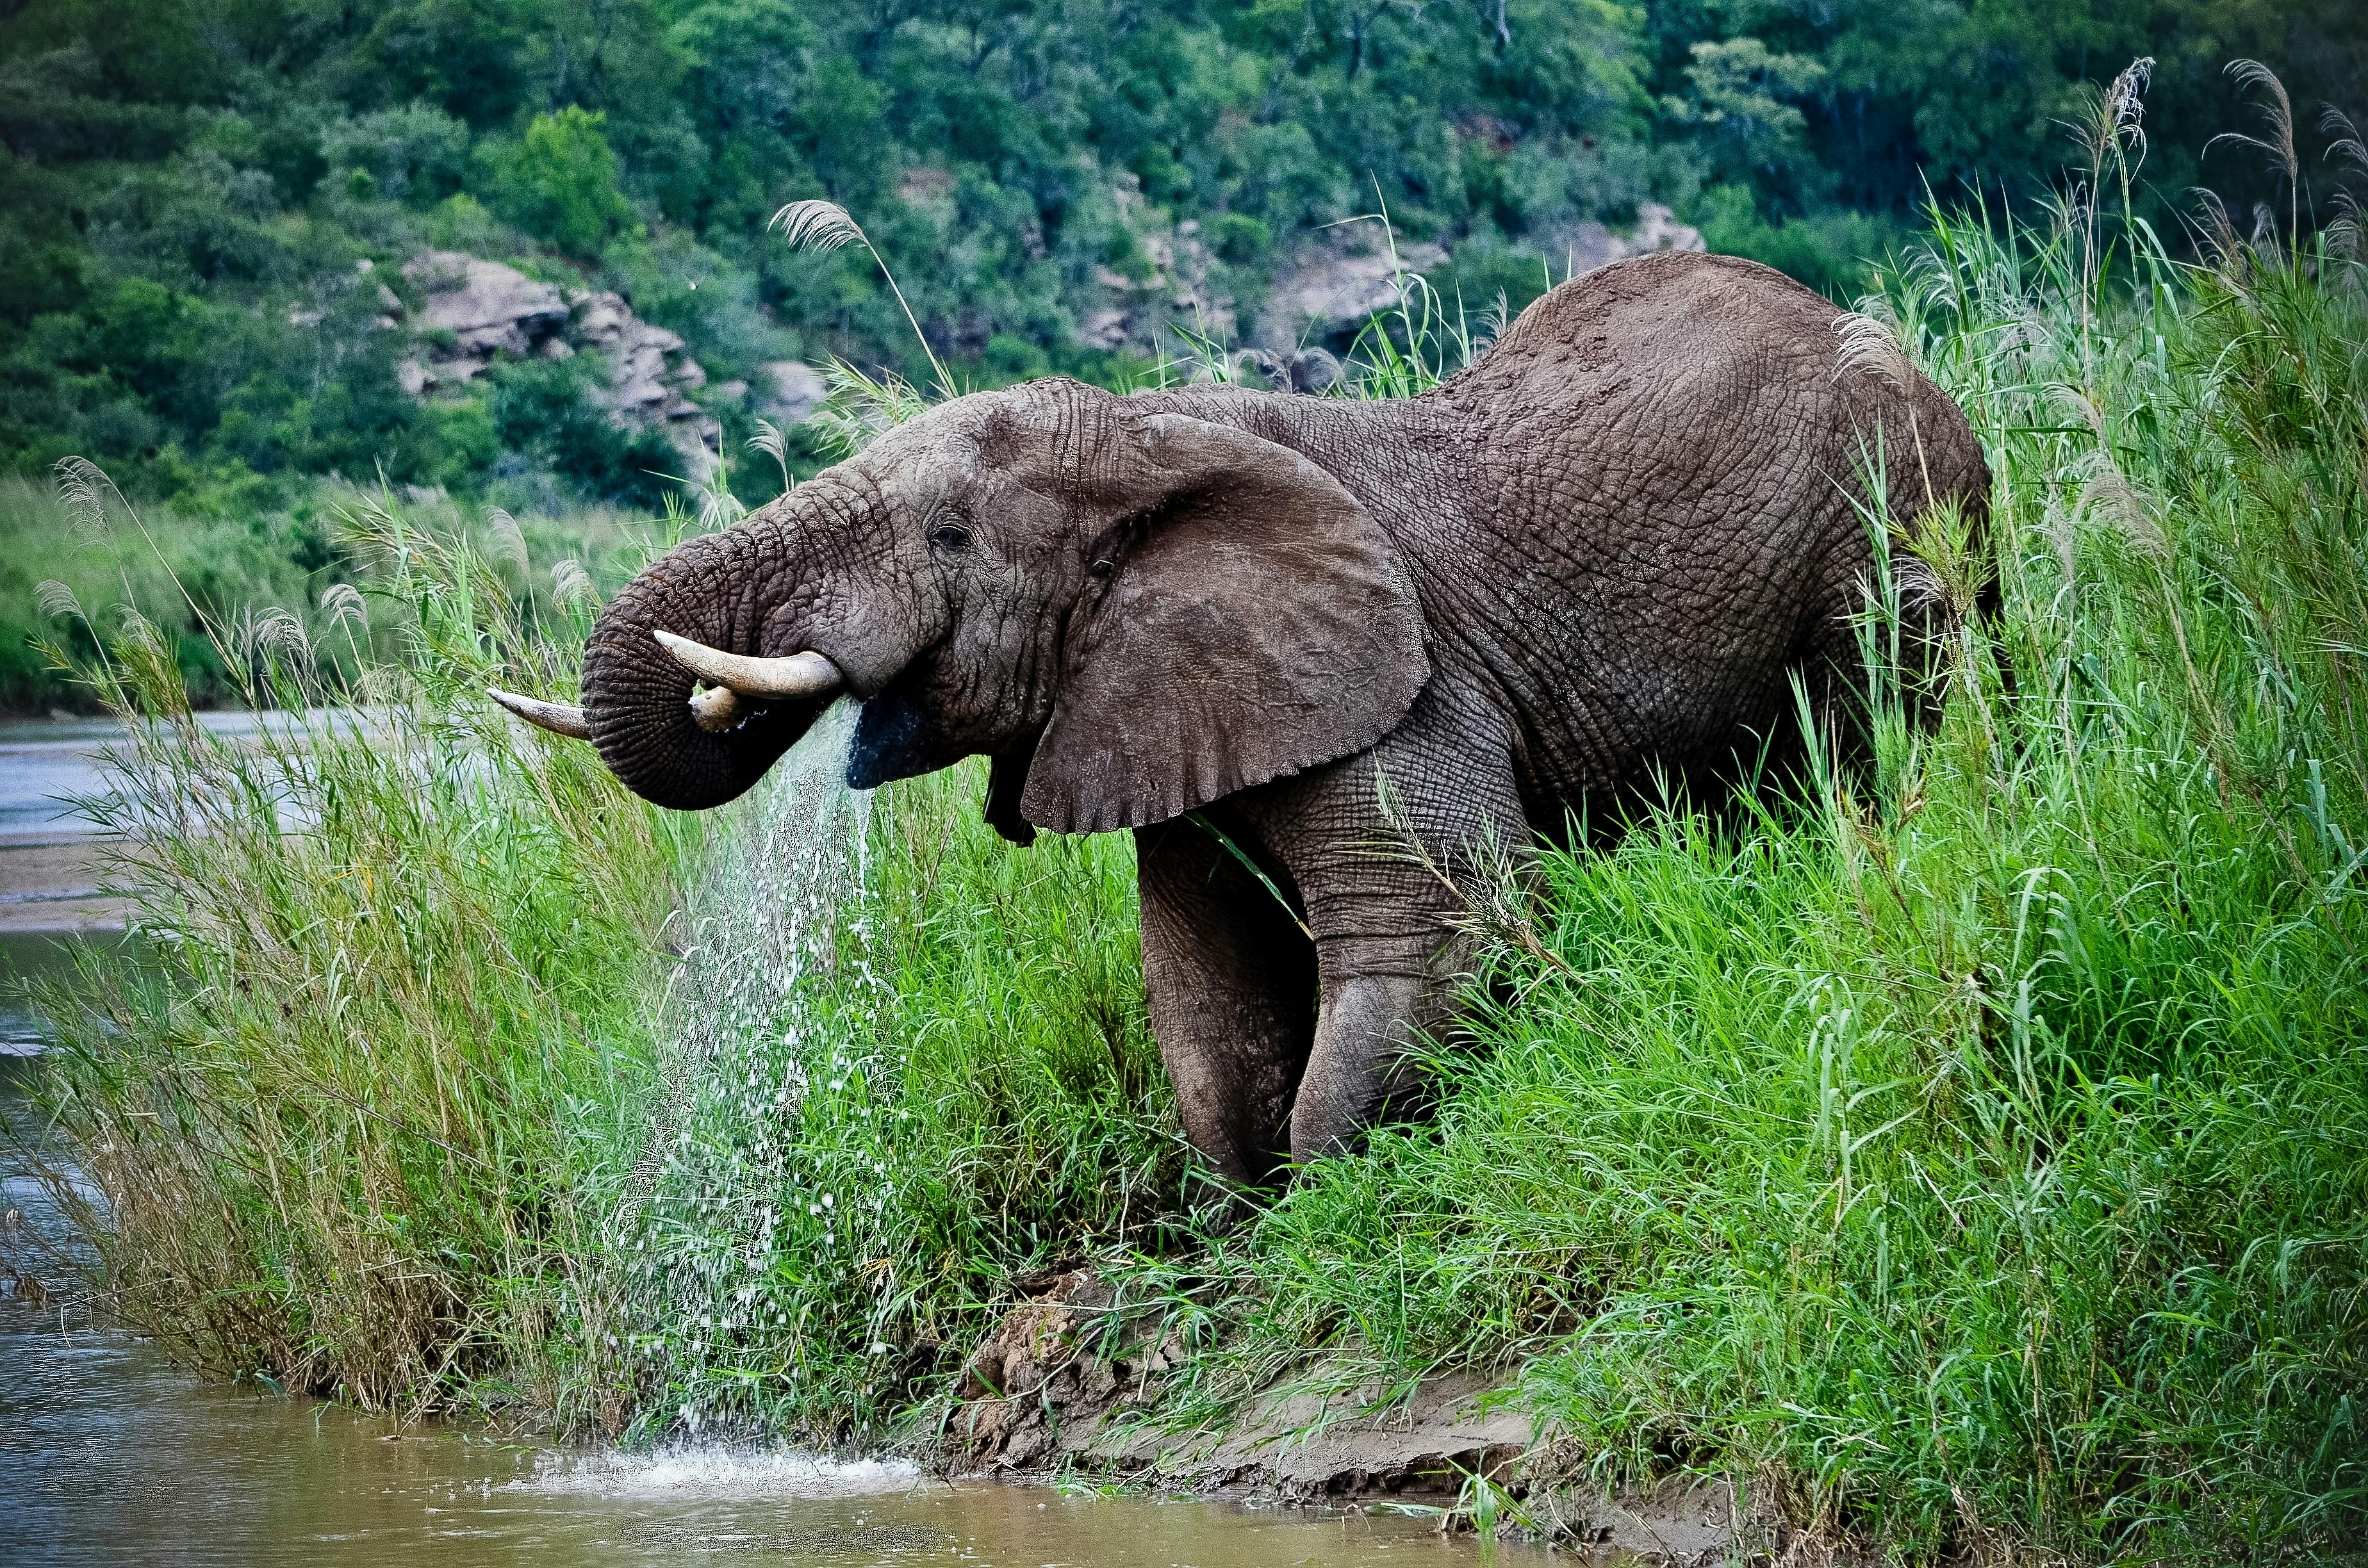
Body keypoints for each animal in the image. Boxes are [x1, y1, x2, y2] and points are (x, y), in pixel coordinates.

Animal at [494, 250, 1990, 1191]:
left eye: (950, 535)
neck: (1147, 436)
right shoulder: (1166, 709)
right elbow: (1204, 997)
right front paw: (1250, 1216)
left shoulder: (1404, 687)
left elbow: (1437, 926)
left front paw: (1341, 1215)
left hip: (1899, 514)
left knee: (1899, 713)